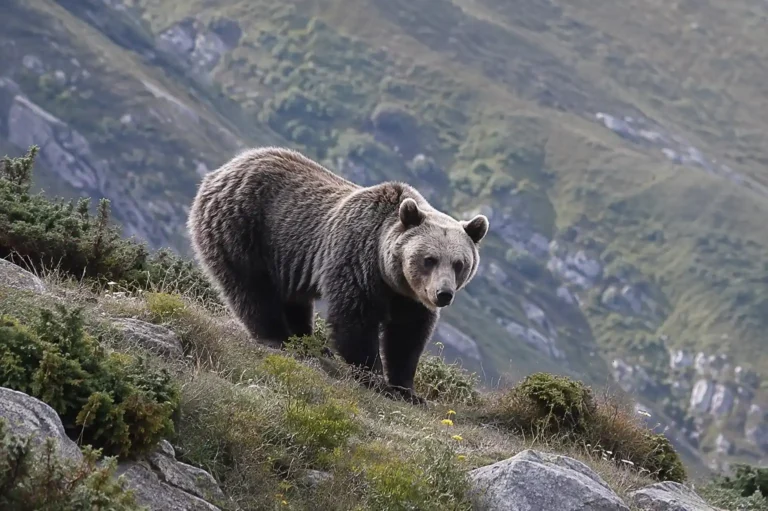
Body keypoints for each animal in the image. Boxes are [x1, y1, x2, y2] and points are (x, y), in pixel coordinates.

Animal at [187, 146, 489, 404]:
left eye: (459, 263)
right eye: (429, 259)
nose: (443, 294)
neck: (389, 274)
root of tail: (222, 169)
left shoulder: (408, 297)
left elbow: (407, 335)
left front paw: (407, 389)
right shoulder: (357, 261)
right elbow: (354, 319)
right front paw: (372, 376)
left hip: (284, 257)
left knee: (293, 299)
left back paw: (308, 341)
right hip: (243, 228)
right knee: (252, 289)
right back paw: (276, 336)